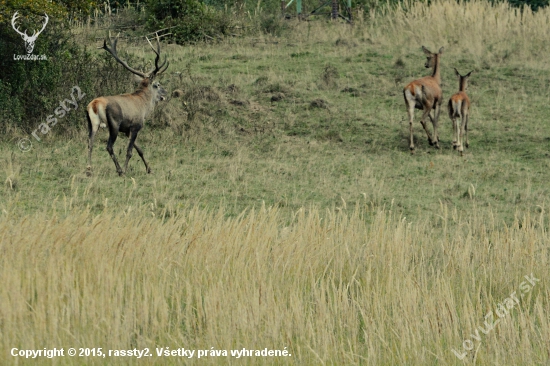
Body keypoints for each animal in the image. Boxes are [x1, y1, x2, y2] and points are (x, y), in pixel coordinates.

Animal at [85, 33, 168, 177]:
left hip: (92, 123)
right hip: (114, 124)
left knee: (90, 143)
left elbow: (140, 149)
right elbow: (129, 151)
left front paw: (149, 168)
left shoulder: (127, 130)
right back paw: (119, 170)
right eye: (158, 84)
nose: (165, 93)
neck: (144, 106)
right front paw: (125, 169)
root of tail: (95, 104)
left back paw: (89, 169)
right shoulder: (135, 126)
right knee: (109, 146)